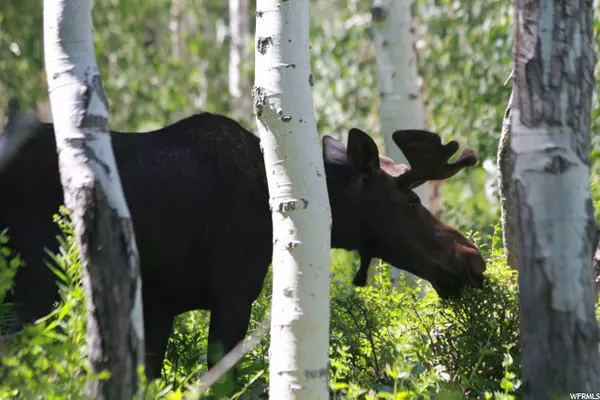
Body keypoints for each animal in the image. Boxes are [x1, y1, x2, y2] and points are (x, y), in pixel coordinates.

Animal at [0, 110, 486, 388]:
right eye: (411, 202)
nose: (472, 257)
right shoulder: (232, 295)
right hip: (32, 284)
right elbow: (222, 383)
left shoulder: (158, 306)